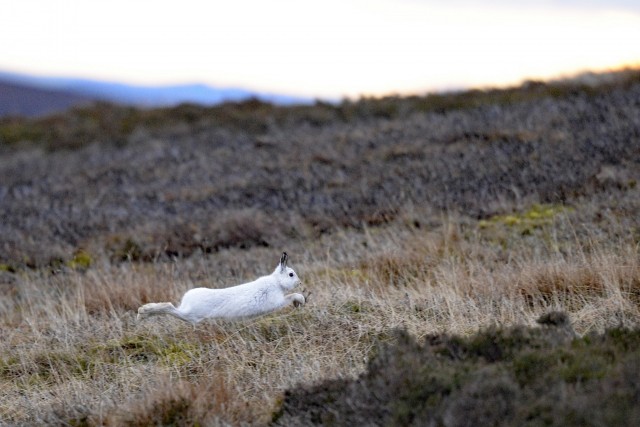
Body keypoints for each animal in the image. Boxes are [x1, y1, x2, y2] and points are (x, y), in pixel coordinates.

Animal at [137, 252, 305, 325]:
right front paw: (300, 300)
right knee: (170, 308)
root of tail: (187, 299)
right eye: (291, 274)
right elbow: (290, 297)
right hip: (192, 316)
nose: (299, 282)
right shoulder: (276, 301)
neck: (277, 282)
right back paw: (143, 312)